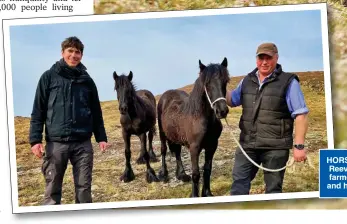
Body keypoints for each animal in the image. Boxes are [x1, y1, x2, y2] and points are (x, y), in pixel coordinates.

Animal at [156, 57, 230, 196]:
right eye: (207, 84)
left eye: (225, 81)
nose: (222, 111)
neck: (202, 118)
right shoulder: (194, 148)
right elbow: (196, 174)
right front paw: (195, 195)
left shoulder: (212, 146)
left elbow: (207, 170)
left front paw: (207, 193)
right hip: (162, 133)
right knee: (163, 150)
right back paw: (164, 174)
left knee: (177, 152)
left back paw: (182, 174)